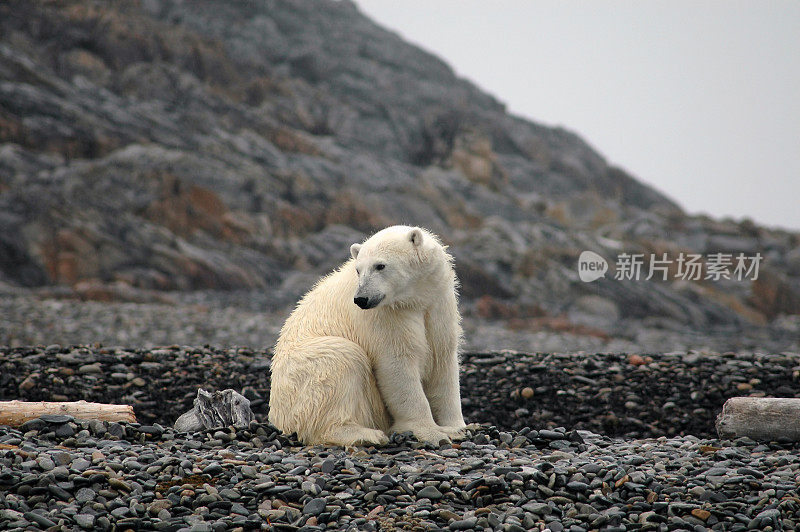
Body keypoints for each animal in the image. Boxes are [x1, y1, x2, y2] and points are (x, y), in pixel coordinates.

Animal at [268, 224, 468, 444]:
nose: (361, 299)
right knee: (341, 359)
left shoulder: (438, 303)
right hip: (300, 380)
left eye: (380, 266)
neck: (414, 299)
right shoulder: (386, 316)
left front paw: (455, 428)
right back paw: (366, 434)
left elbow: (443, 362)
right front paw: (431, 432)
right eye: (358, 270)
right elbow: (398, 362)